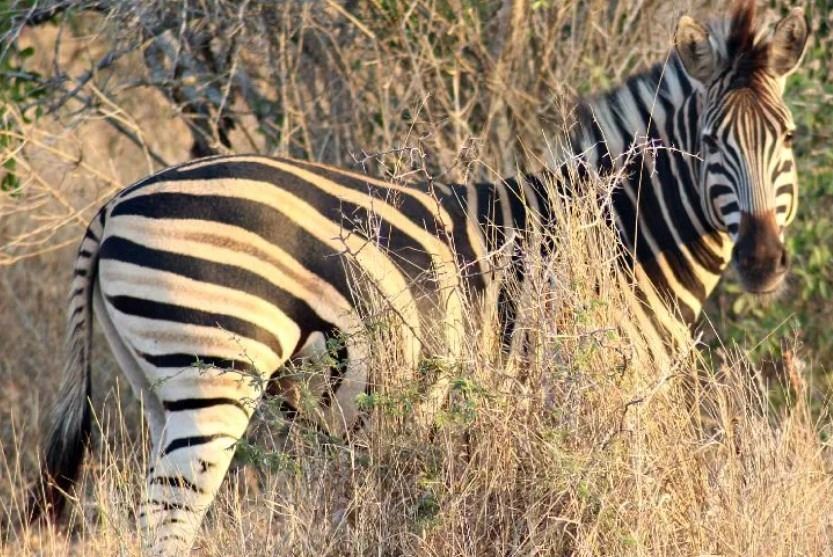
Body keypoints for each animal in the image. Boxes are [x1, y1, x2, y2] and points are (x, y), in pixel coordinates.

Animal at [30, 2, 807, 554]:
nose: (763, 262)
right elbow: (611, 508)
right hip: (214, 373)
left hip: (160, 381)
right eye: (708, 143)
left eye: (789, 137)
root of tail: (117, 200)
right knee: (169, 520)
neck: (621, 232)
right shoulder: (607, 395)